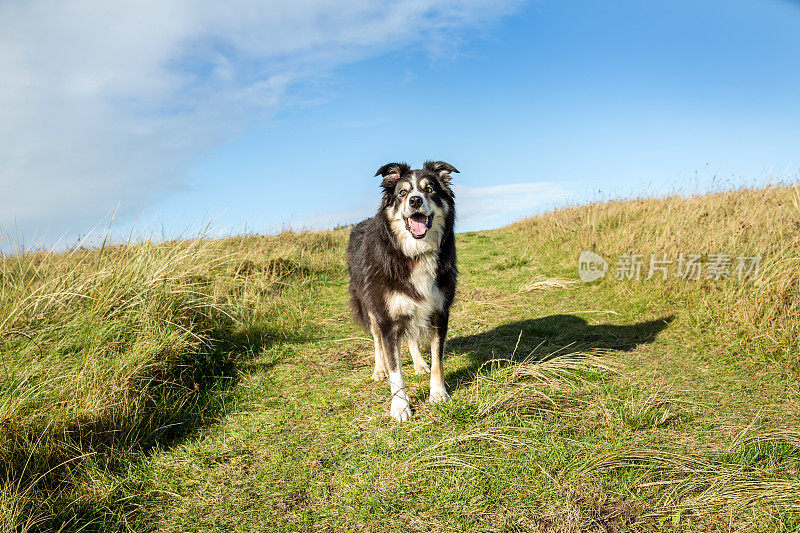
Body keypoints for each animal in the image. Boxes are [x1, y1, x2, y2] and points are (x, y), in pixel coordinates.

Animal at [344, 160, 456, 422]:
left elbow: (438, 358)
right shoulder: (386, 317)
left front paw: (438, 393)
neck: (413, 253)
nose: (415, 200)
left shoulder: (439, 311)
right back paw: (379, 370)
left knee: (412, 336)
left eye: (429, 189)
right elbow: (395, 368)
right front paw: (400, 406)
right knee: (377, 342)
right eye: (402, 193)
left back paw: (419, 364)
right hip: (370, 306)